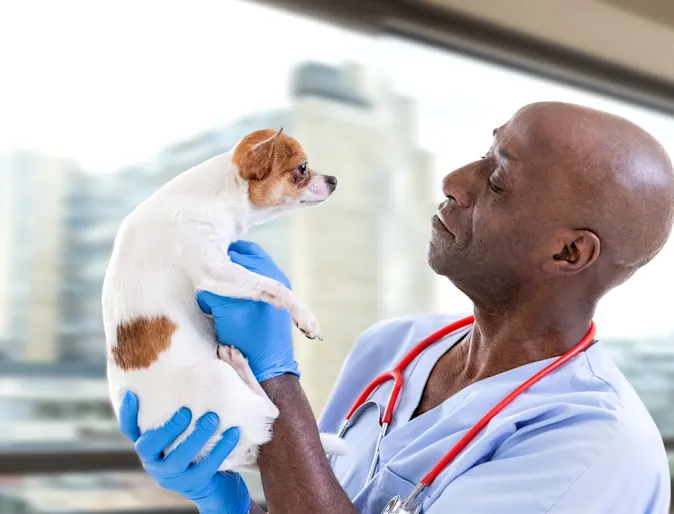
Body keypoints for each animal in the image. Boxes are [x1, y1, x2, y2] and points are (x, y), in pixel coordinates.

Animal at [103, 127, 346, 468]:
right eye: (302, 168)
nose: (334, 179)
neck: (216, 196)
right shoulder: (214, 271)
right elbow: (276, 286)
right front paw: (305, 316)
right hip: (214, 376)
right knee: (273, 410)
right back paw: (238, 363)